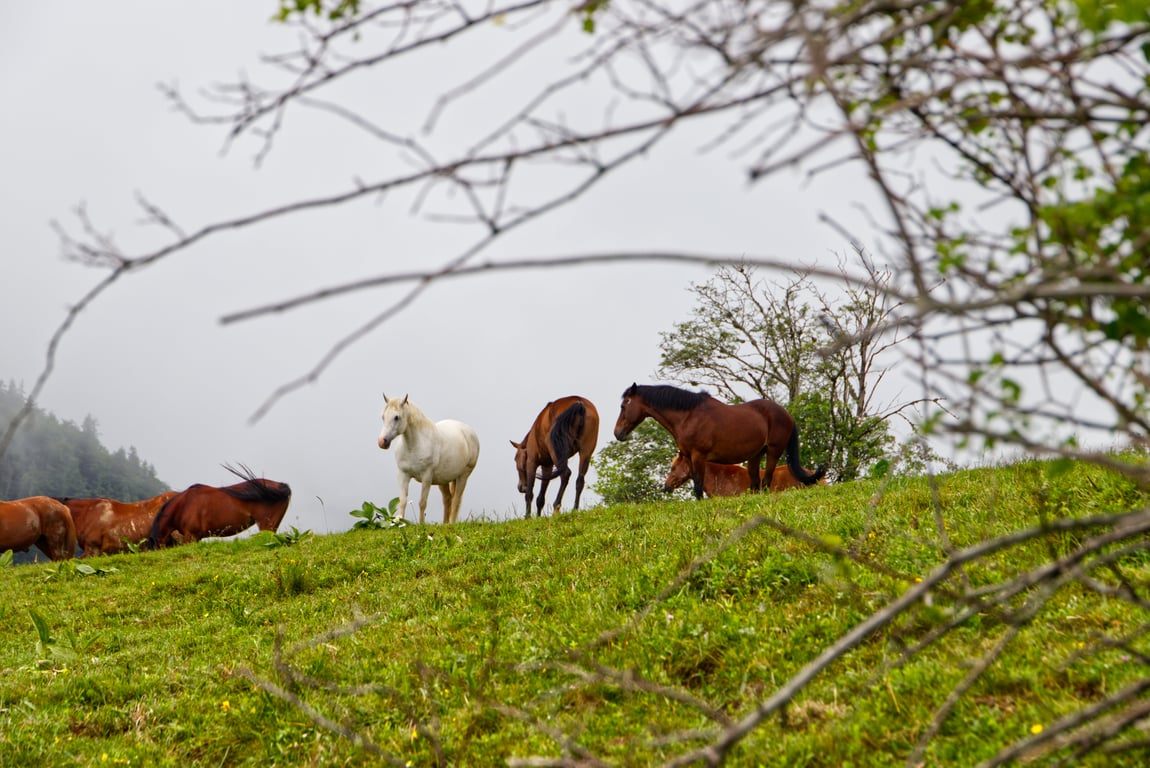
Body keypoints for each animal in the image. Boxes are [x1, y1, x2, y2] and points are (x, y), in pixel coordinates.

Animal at [378, 394, 480, 524]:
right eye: (383, 416)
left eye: (396, 417)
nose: (382, 442)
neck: (414, 446)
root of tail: (467, 430)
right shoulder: (403, 475)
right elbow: (403, 501)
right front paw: (400, 522)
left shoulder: (426, 477)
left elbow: (422, 502)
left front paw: (421, 524)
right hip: (443, 480)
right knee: (448, 499)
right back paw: (445, 524)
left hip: (463, 476)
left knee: (456, 500)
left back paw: (451, 523)